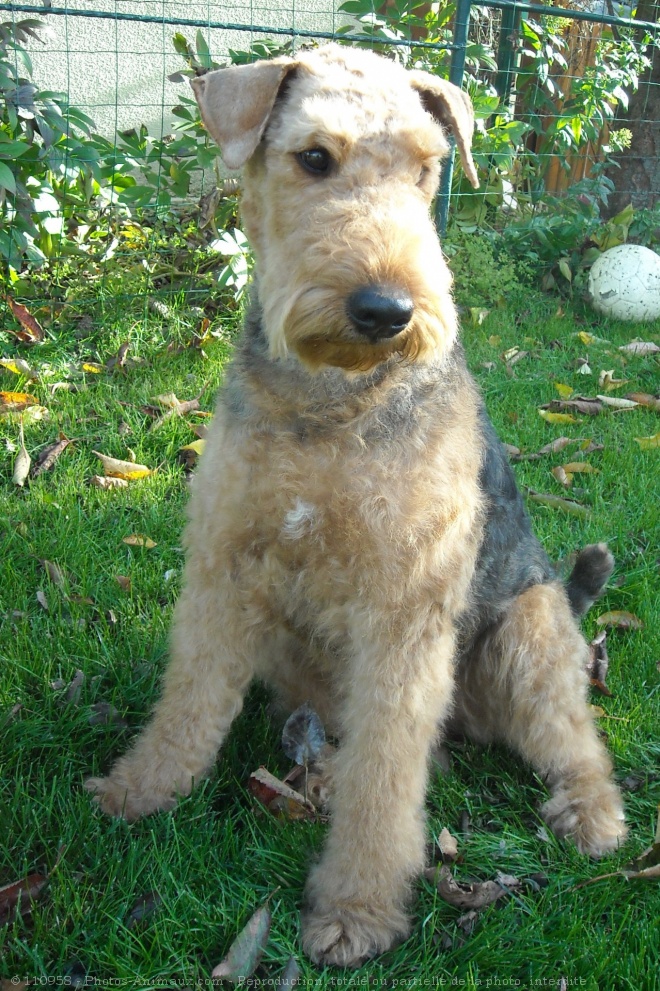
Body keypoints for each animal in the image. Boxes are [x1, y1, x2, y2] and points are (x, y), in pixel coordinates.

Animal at [86, 46, 624, 968]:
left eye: (427, 167)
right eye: (313, 158)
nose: (387, 311)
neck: (332, 399)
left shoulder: (404, 609)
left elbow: (388, 777)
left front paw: (357, 909)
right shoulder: (224, 564)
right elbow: (190, 701)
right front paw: (137, 791)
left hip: (526, 634)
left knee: (568, 739)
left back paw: (593, 817)